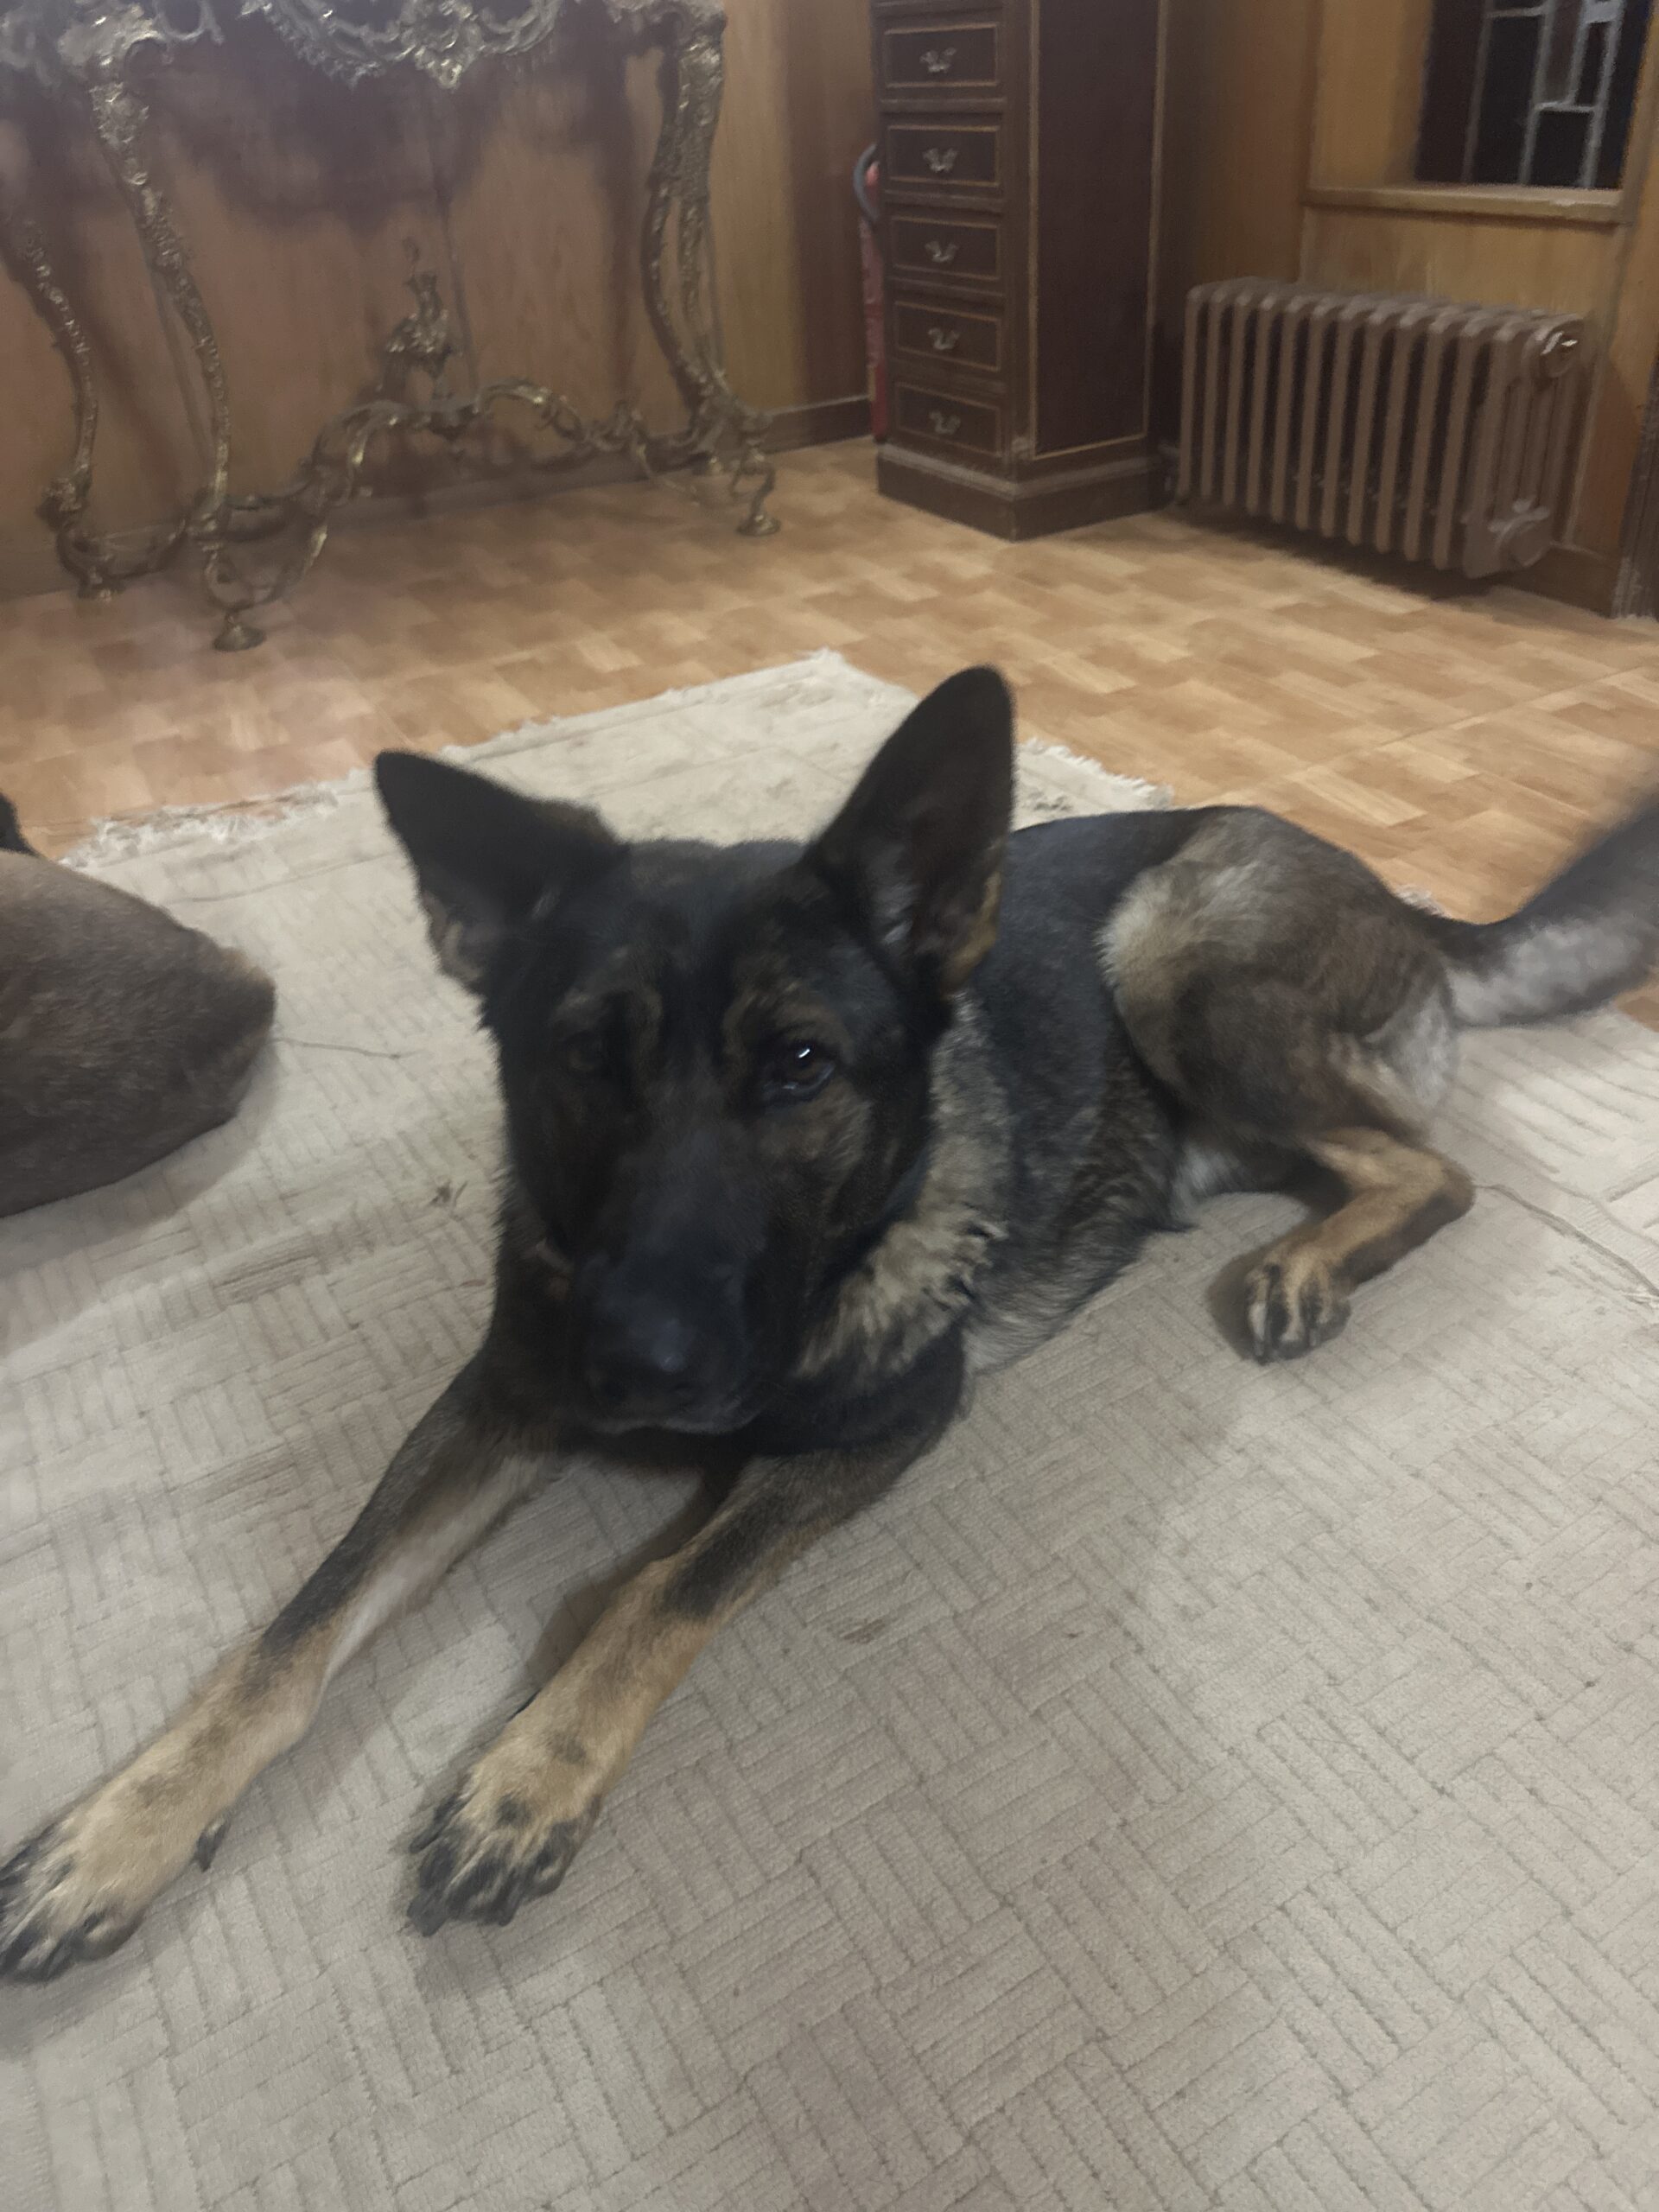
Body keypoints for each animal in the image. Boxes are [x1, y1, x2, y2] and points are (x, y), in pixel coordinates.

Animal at [3, 667, 1655, 1980]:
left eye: (800, 1066)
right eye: (584, 1061)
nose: (640, 1369)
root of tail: (1396, 894)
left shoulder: (889, 1425)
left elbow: (669, 1589)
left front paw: (532, 1764)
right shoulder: (496, 1403)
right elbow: (302, 1622)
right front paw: (122, 1828)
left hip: (1170, 949)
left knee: (1435, 1168)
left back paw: (1311, 1263)